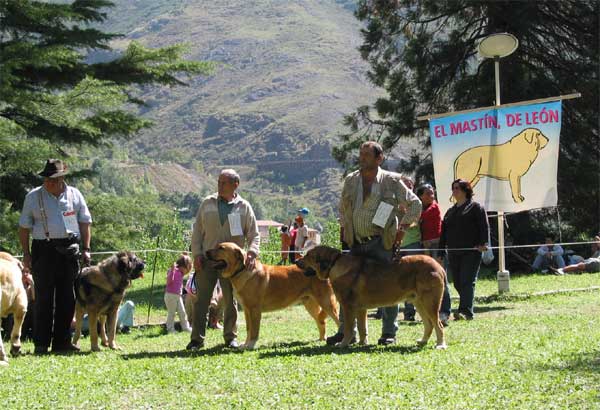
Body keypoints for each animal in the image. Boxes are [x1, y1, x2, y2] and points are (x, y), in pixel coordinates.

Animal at [205, 242, 338, 350]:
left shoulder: (255, 310)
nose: (206, 252)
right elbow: (248, 329)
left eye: (221, 248)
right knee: (321, 322)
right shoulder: (247, 310)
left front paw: (251, 345)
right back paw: (321, 339)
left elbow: (254, 331)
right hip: (311, 304)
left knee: (337, 320)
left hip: (327, 303)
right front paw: (245, 344)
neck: (241, 271)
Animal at [296, 247, 446, 350]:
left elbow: (349, 328)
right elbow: (362, 328)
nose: (296, 261)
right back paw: (423, 341)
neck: (335, 264)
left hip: (430, 303)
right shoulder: (361, 309)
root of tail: (438, 266)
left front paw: (343, 344)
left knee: (438, 325)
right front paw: (362, 343)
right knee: (429, 324)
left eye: (308, 255)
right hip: (419, 303)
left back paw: (440, 345)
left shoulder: (348, 307)